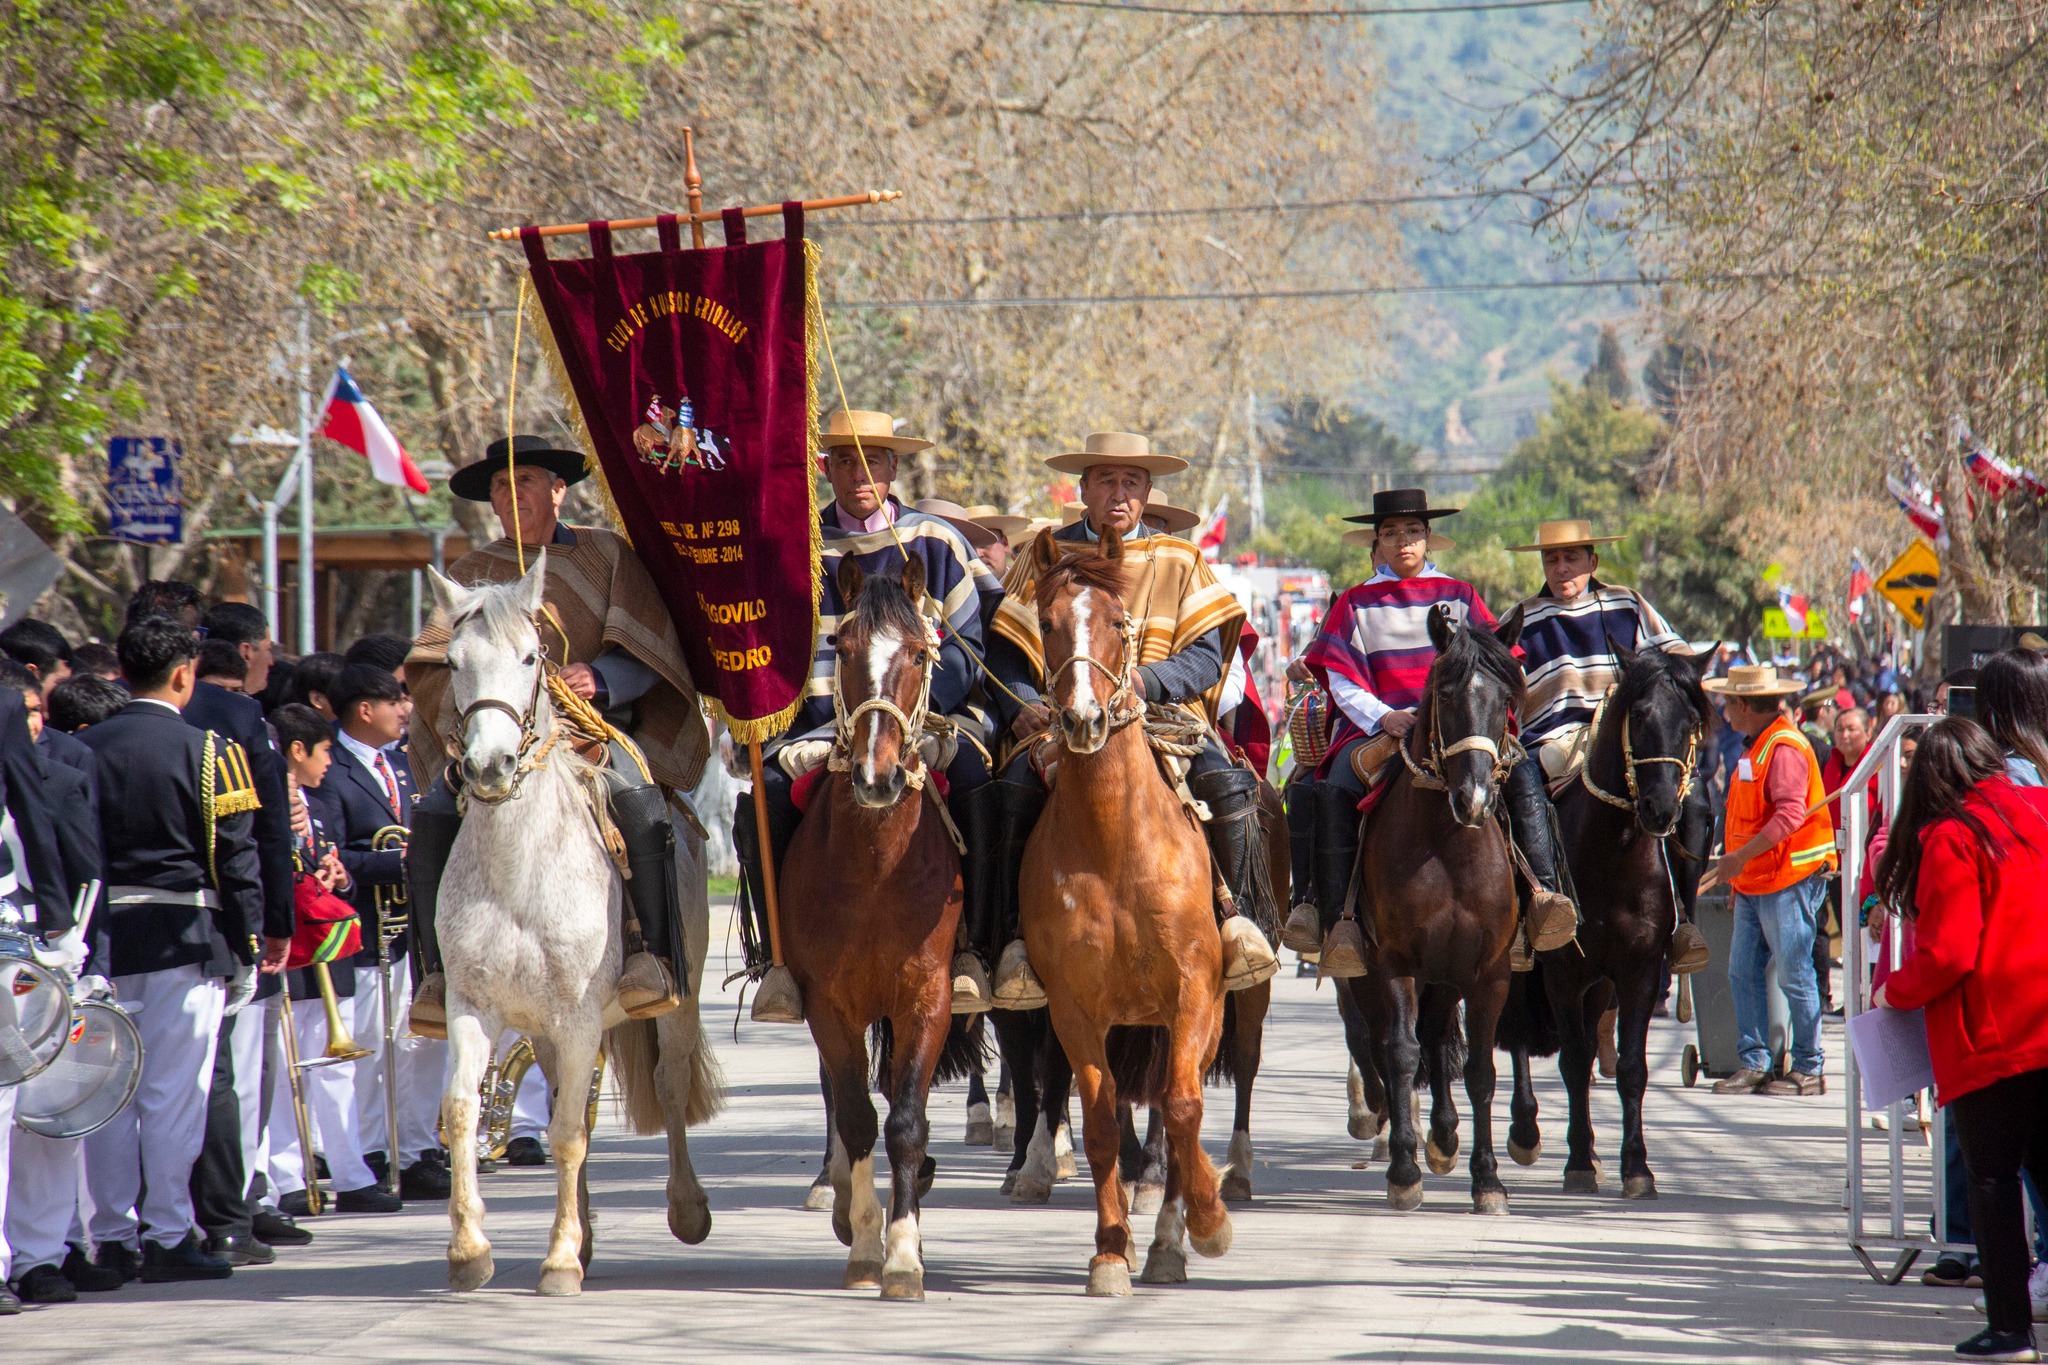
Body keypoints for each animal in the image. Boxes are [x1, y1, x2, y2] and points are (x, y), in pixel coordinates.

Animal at [428, 556, 724, 1301]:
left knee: (668, 1082)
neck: (516, 871)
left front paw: (559, 1261)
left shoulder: (580, 1013)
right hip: (540, 1028)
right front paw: (470, 1249)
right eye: (451, 661)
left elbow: (565, 1135)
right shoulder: (472, 1004)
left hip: (677, 997)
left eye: (531, 657)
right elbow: (463, 1110)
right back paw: (585, 1230)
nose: (489, 767)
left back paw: (685, 1208)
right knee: (568, 1098)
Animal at [774, 556, 983, 1301]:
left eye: (921, 654)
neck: (875, 868)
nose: (875, 775)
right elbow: (860, 1113)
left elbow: (906, 1120)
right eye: (844, 648)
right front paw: (866, 1242)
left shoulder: (927, 996)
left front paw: (904, 1254)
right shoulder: (829, 1003)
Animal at [1011, 527, 1220, 1301]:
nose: (1081, 719)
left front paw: (1205, 1222)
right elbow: (1100, 1121)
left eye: (1116, 621)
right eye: (1047, 622)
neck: (1115, 847)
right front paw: (1108, 1250)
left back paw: (1171, 1234)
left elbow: (1183, 1108)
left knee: (1176, 1109)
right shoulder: (1074, 1006)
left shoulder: (1194, 990)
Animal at [1335, 601, 1531, 1211]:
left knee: (1440, 1038)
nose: (1474, 798)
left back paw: (1444, 1137)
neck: (1448, 848)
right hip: (1371, 972)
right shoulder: (1394, 961)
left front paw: (1487, 1178)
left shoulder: (1489, 969)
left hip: (1446, 973)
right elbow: (1399, 1052)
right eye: (1445, 695)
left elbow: (1479, 1069)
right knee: (1375, 1041)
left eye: (1506, 697)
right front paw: (1403, 1170)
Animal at [1490, 642, 1712, 1195]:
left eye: (1691, 720)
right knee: (1522, 1034)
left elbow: (1630, 1067)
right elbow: (1571, 1061)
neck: (1615, 855)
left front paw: (1636, 1167)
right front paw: (1577, 1163)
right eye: (1641, 715)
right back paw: (1527, 1130)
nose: (1660, 810)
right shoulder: (1563, 973)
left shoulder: (1637, 972)